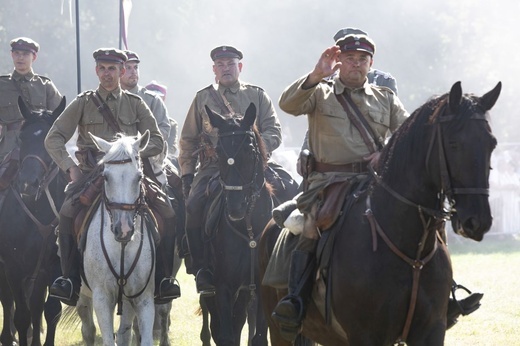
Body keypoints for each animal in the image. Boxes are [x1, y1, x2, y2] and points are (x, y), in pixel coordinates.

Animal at [0, 97, 67, 346]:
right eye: (21, 138)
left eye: (49, 140)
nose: (28, 183)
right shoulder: (12, 266)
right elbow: (20, 314)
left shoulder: (53, 266)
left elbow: (50, 310)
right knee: (8, 302)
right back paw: (7, 337)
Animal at [77, 132, 154, 346]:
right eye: (105, 177)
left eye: (139, 177)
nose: (124, 230)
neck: (121, 247)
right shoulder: (102, 299)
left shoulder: (142, 298)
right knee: (88, 328)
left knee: (124, 332)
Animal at [258, 82, 500, 346]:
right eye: (454, 143)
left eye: (492, 143)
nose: (477, 221)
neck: (410, 251)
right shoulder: (366, 335)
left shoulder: (431, 331)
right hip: (278, 330)